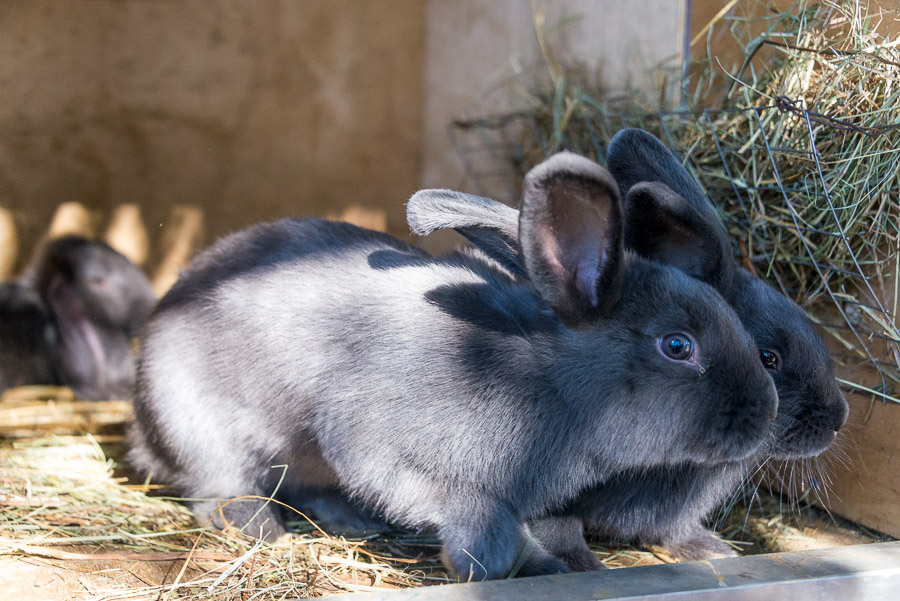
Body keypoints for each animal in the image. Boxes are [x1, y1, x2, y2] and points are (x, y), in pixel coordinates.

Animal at [130, 152, 776, 580]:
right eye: (678, 346)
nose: (766, 412)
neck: (541, 378)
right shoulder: (392, 453)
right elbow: (474, 518)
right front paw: (503, 565)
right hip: (200, 426)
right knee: (217, 489)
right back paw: (261, 525)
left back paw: (350, 519)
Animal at [408, 131, 852, 568]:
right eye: (769, 357)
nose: (837, 420)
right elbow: (558, 527)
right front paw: (582, 565)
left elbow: (674, 531)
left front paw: (712, 550)